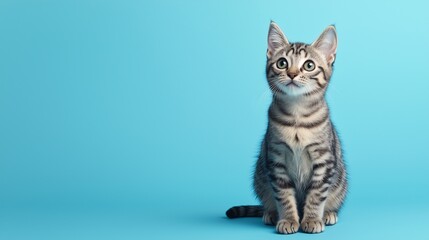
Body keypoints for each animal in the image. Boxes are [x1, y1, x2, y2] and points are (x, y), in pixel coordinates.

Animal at [226, 22, 346, 234]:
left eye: (309, 65)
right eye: (282, 63)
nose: (292, 74)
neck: (297, 116)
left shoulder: (324, 160)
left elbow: (316, 194)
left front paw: (312, 219)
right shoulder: (276, 159)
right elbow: (283, 195)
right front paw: (289, 219)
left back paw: (328, 214)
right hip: (260, 176)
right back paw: (271, 214)